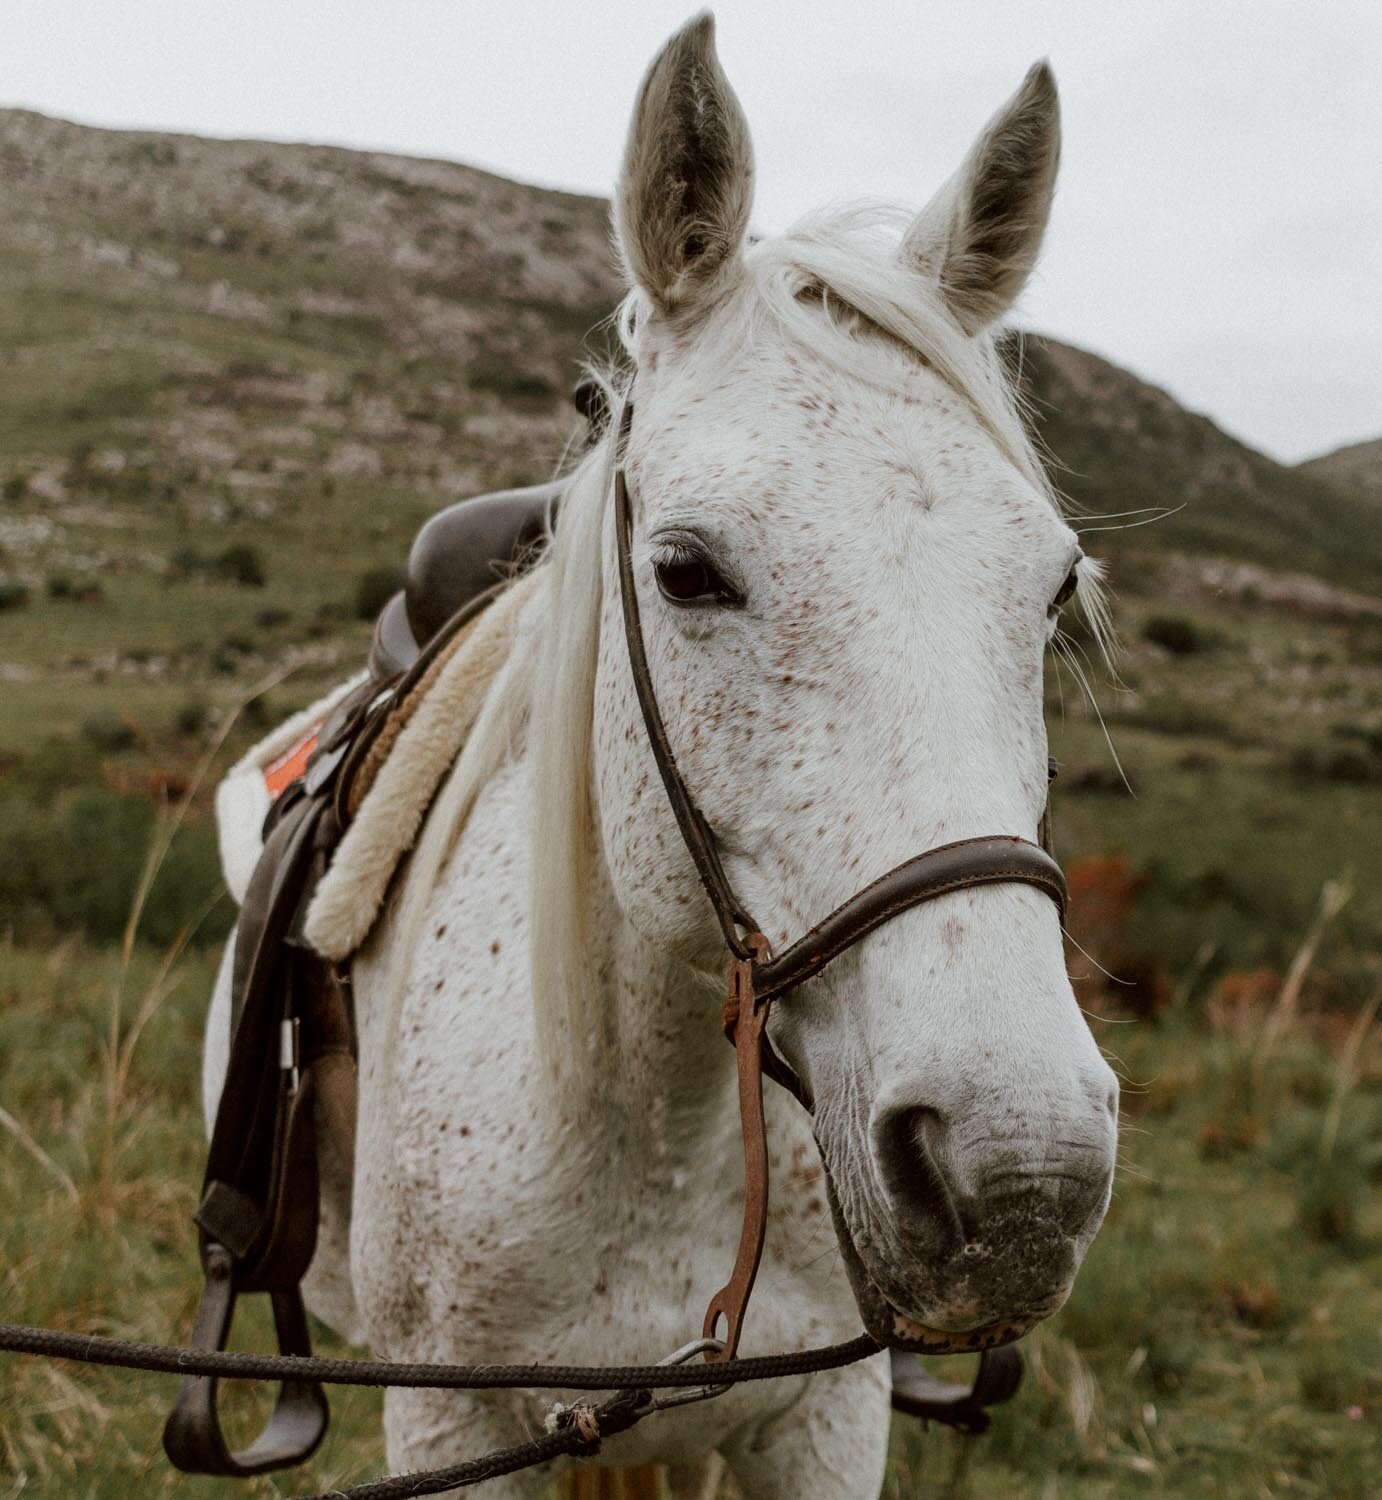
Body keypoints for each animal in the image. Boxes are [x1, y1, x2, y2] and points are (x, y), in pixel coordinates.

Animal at [207, 14, 1122, 1500]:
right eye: (684, 571)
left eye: (1052, 589)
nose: (1020, 1175)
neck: (659, 1124)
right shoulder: (450, 1420)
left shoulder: (825, 1415)